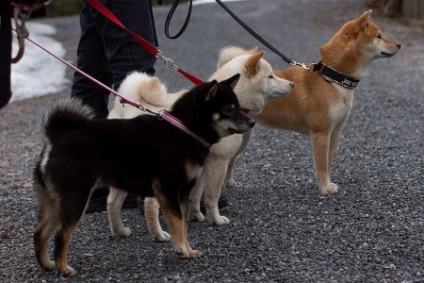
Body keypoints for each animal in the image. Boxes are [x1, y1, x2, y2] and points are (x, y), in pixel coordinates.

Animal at [33, 74, 253, 278]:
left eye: (239, 106)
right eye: (228, 109)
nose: (251, 122)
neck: (184, 129)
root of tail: (57, 138)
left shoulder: (182, 193)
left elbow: (183, 225)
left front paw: (188, 251)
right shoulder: (168, 189)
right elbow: (177, 223)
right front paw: (181, 248)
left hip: (54, 201)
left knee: (40, 233)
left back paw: (47, 264)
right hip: (75, 198)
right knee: (61, 235)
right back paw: (63, 268)